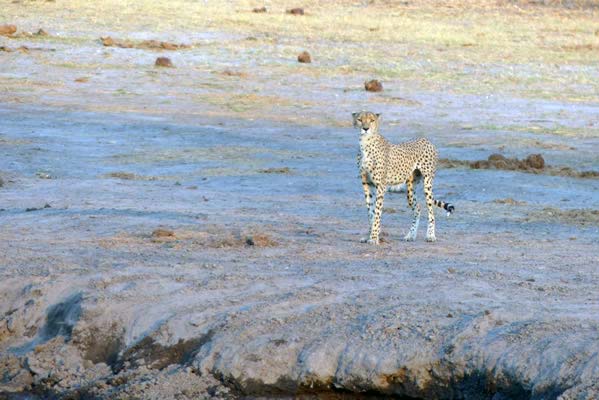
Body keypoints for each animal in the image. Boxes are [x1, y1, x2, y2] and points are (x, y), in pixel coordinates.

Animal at [352, 111, 454, 245]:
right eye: (360, 119)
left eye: (372, 120)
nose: (365, 128)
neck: (365, 143)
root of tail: (425, 139)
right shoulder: (367, 184)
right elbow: (370, 212)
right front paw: (369, 235)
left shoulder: (380, 186)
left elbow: (377, 212)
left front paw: (374, 237)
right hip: (410, 189)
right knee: (418, 209)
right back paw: (411, 235)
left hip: (427, 183)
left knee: (431, 211)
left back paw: (430, 235)